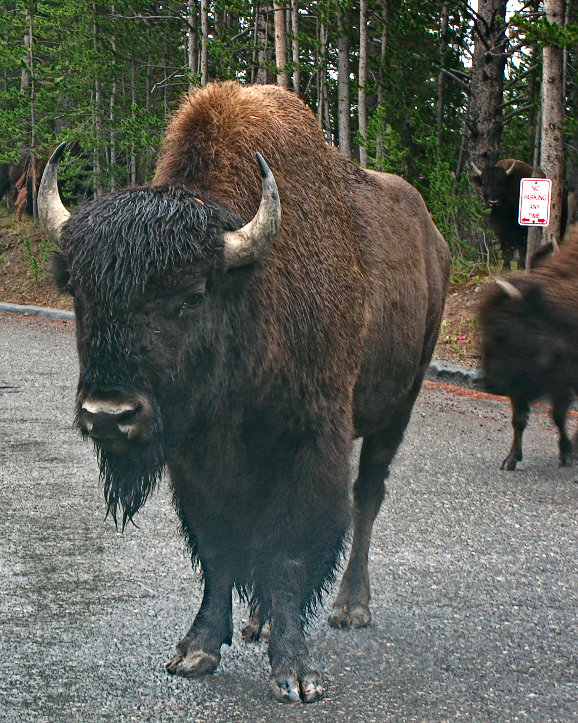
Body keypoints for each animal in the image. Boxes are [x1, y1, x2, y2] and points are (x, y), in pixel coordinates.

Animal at [38, 82, 448, 704]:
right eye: (80, 294)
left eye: (191, 295)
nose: (108, 415)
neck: (249, 293)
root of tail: (433, 238)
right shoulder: (194, 456)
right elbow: (220, 547)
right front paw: (197, 650)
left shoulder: (312, 441)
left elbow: (288, 549)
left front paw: (295, 674)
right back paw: (259, 621)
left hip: (396, 406)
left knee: (368, 496)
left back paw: (351, 607)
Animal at [476, 226, 576, 472]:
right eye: (483, 328)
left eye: (504, 330)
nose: (488, 384)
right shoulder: (520, 388)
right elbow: (519, 420)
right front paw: (510, 460)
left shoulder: (562, 382)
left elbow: (558, 416)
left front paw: (566, 453)